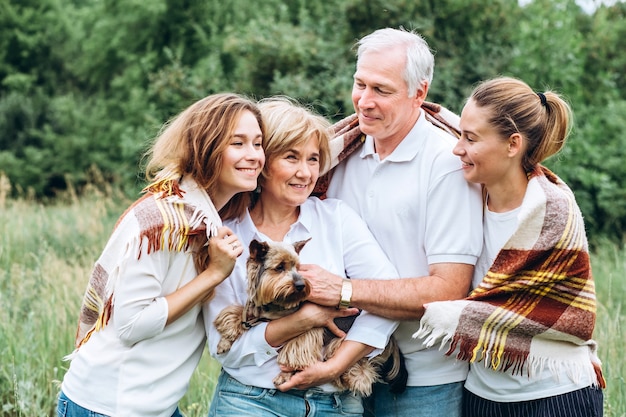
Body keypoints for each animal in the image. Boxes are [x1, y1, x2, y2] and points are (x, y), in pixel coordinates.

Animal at [212, 239, 404, 394]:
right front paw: (224, 341)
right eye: (279, 267)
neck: (277, 304)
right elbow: (236, 312)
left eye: (298, 267)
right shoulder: (256, 312)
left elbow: (294, 352)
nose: (300, 285)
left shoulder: (308, 330)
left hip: (340, 343)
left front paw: (285, 374)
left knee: (362, 372)